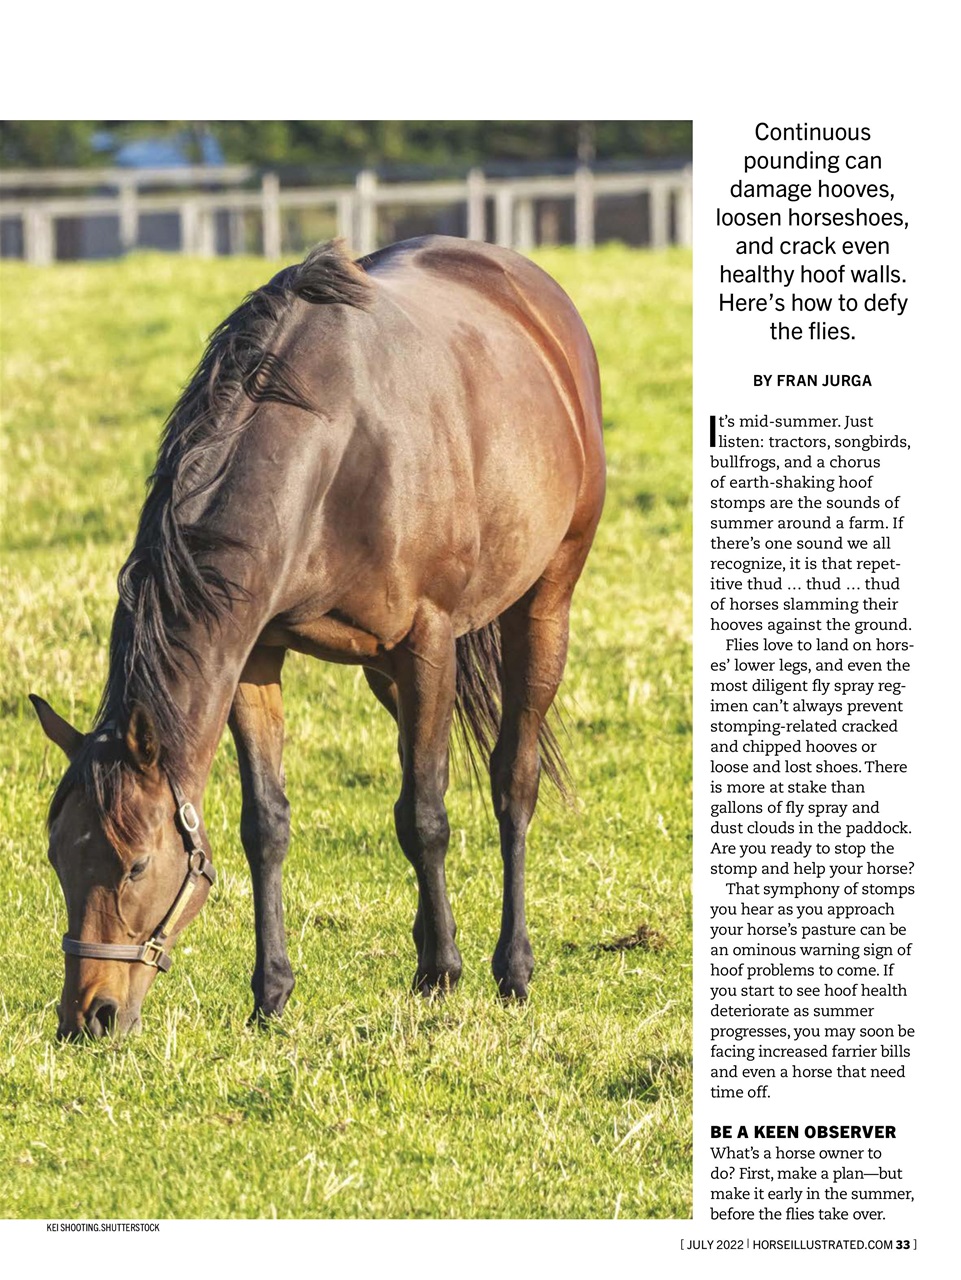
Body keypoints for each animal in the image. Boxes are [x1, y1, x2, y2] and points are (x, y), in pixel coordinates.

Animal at [31, 235, 606, 1039]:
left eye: (136, 864)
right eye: (58, 858)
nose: (89, 1017)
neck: (335, 452)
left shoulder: (428, 641)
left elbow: (426, 815)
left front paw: (441, 976)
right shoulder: (256, 655)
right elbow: (266, 825)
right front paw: (271, 994)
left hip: (543, 604)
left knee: (511, 779)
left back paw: (509, 968)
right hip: (387, 676)